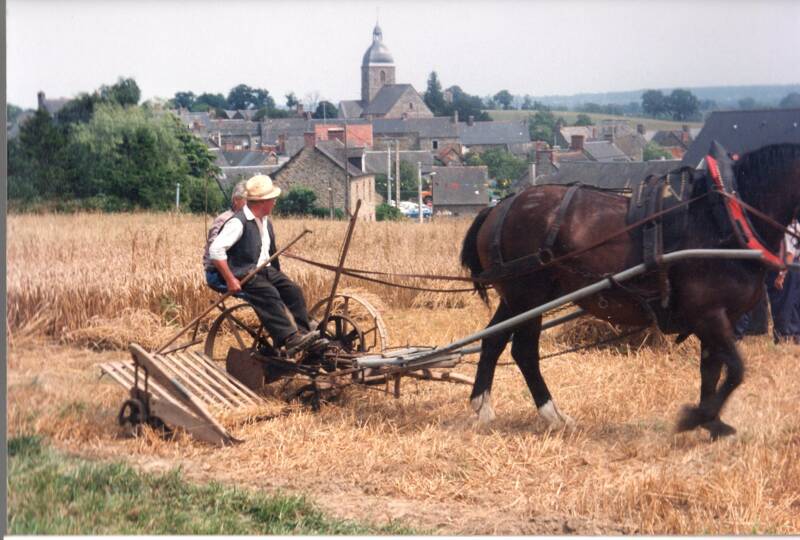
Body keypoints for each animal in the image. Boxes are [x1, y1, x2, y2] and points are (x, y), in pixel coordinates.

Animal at [456, 141, 800, 436]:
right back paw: (552, 414)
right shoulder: (710, 316)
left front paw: (710, 422)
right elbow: (736, 370)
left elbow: (712, 372)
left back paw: (483, 407)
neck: (724, 218)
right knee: (524, 351)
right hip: (528, 296)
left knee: (493, 340)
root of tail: (499, 208)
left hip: (517, 298)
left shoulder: (718, 319)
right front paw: (695, 418)